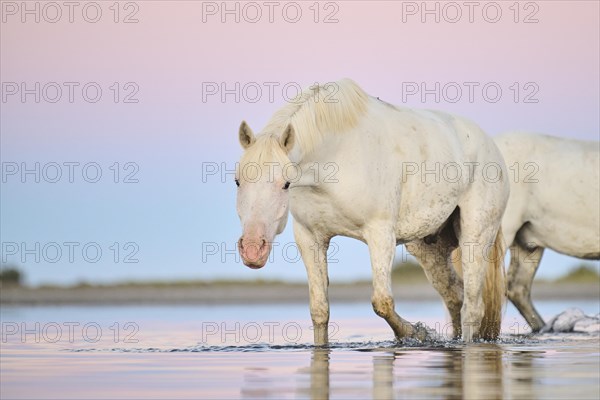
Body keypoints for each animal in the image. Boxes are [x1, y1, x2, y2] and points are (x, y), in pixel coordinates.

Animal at [233, 79, 506, 344]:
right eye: (237, 181)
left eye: (285, 184)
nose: (252, 249)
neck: (335, 157)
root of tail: (491, 146)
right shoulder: (309, 237)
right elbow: (319, 310)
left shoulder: (380, 233)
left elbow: (382, 303)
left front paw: (416, 334)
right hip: (430, 248)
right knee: (454, 297)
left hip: (476, 237)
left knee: (472, 307)